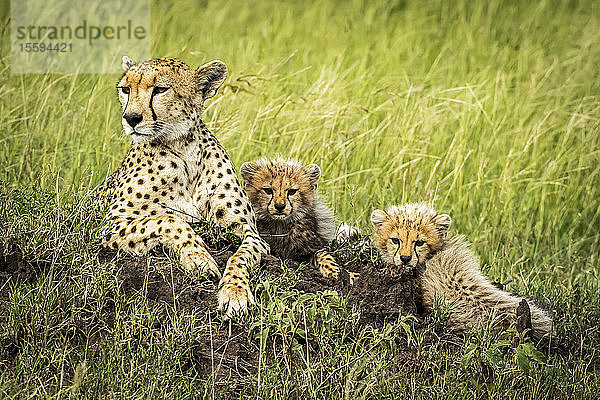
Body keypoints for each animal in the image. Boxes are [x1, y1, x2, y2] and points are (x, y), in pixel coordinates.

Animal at [98, 57, 270, 318]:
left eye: (160, 89)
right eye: (126, 89)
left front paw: (235, 293)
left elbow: (240, 257)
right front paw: (199, 258)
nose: (131, 118)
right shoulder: (107, 224)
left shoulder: (249, 232)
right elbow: (168, 220)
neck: (183, 148)